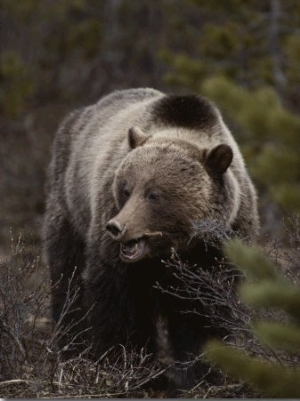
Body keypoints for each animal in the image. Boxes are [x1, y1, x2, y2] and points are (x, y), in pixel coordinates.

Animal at [42, 87, 260, 390]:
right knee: (68, 278)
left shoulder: (220, 247)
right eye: (126, 189)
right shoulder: (117, 255)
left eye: (154, 194)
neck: (175, 249)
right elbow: (116, 303)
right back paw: (73, 349)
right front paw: (121, 364)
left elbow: (206, 311)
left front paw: (203, 375)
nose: (117, 227)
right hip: (69, 204)